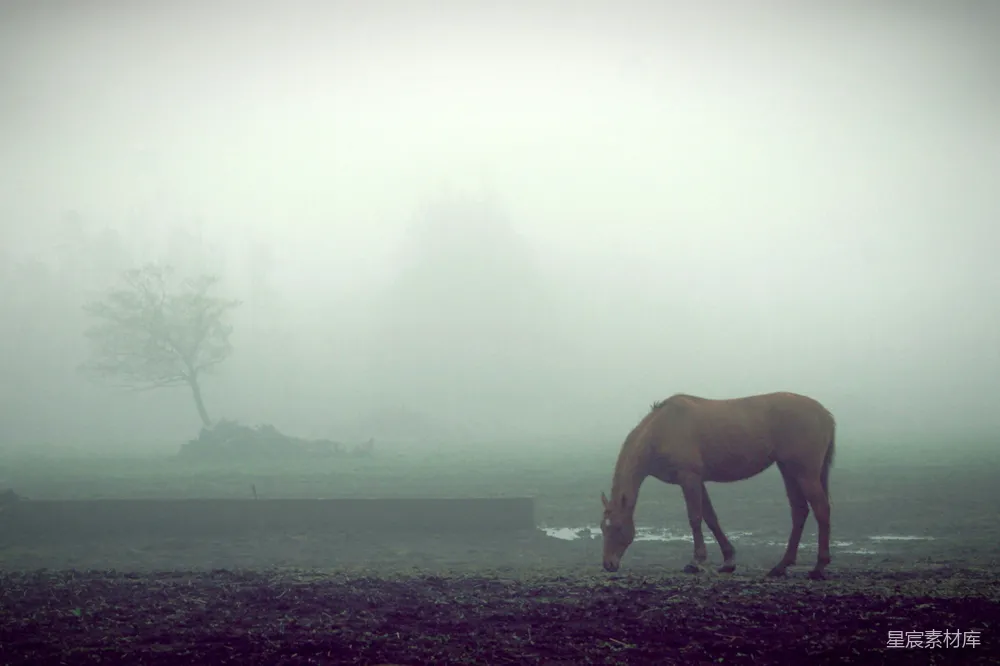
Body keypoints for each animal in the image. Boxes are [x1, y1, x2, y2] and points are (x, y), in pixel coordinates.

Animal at [600, 392, 836, 579]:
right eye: (603, 527)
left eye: (618, 527)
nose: (608, 564)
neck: (662, 429)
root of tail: (825, 414)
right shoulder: (698, 481)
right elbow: (711, 518)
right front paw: (729, 561)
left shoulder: (689, 479)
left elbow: (695, 518)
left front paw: (696, 562)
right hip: (788, 470)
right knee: (799, 511)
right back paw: (781, 566)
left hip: (804, 473)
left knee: (821, 510)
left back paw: (818, 567)